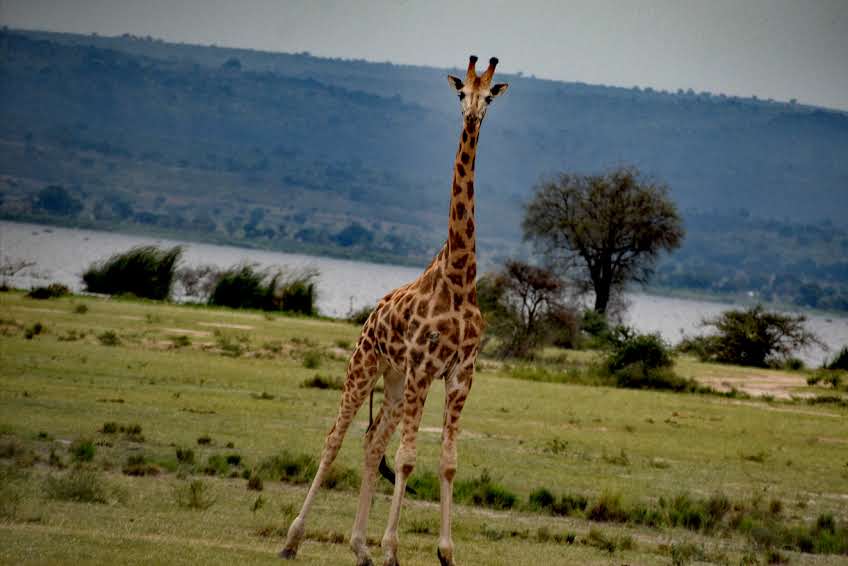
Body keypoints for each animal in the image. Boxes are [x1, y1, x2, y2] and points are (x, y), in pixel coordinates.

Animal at [280, 55, 509, 566]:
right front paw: (392, 549)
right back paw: (292, 539)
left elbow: (447, 462)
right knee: (335, 438)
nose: (472, 117)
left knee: (371, 442)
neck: (459, 278)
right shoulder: (425, 367)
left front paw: (444, 552)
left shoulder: (460, 373)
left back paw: (359, 547)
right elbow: (407, 459)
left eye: (489, 95)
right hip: (365, 366)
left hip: (395, 381)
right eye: (460, 92)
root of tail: (370, 315)